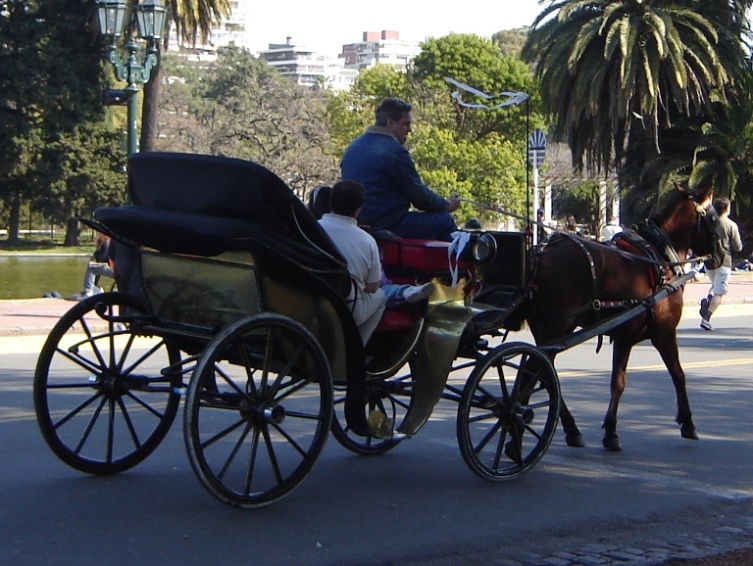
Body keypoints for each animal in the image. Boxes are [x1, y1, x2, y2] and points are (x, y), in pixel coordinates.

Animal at [524, 186, 724, 452]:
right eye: (713, 217)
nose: (722, 254)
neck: (659, 256)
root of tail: (540, 253)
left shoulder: (624, 336)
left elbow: (619, 382)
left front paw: (610, 430)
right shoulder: (662, 333)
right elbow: (676, 375)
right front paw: (687, 422)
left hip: (545, 331)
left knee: (541, 372)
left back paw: (566, 429)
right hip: (556, 327)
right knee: (535, 371)